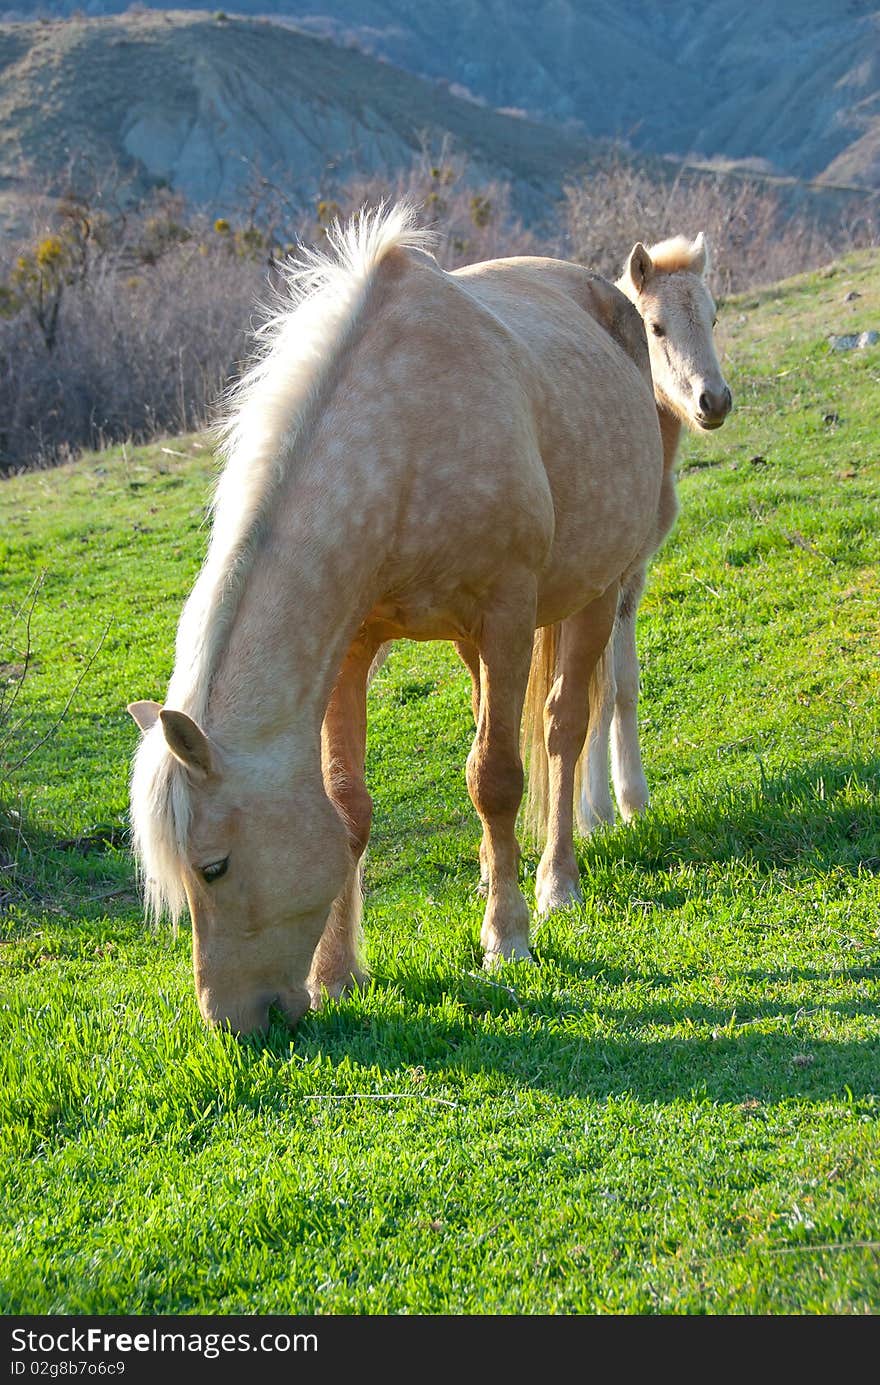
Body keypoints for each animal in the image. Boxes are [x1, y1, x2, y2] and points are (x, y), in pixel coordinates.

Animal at [128, 202, 659, 1030]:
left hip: (594, 595)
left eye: (212, 866)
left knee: (562, 729)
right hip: (478, 646)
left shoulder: (509, 614)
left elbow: (497, 778)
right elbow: (349, 806)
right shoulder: (357, 643)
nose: (230, 1021)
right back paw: (490, 873)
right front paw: (339, 972)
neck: (405, 438)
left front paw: (507, 938)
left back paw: (554, 882)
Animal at [521, 232, 731, 914]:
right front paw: (597, 815)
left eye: (713, 317)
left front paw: (626, 802)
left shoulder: (627, 582)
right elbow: (596, 691)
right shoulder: (602, 583)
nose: (714, 401)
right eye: (656, 327)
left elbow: (621, 686)